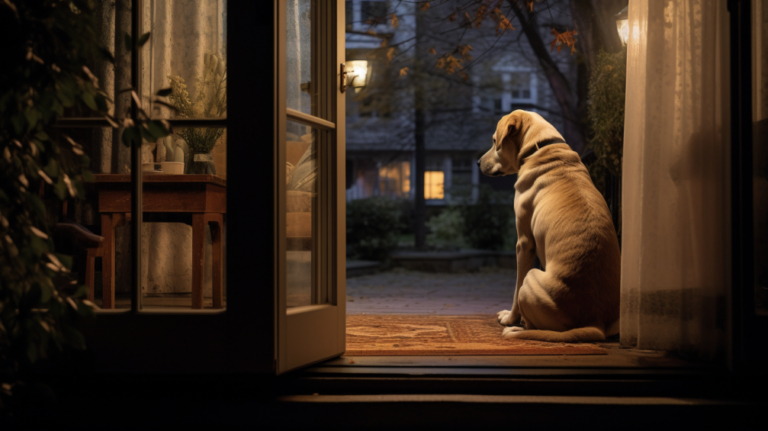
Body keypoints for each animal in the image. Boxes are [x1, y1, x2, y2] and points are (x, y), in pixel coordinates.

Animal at [480, 109, 624, 342]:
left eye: (495, 141)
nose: (477, 162)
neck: (539, 147)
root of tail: (596, 322)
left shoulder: (524, 244)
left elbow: (515, 290)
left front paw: (510, 318)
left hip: (531, 278)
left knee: (533, 323)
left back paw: (517, 329)